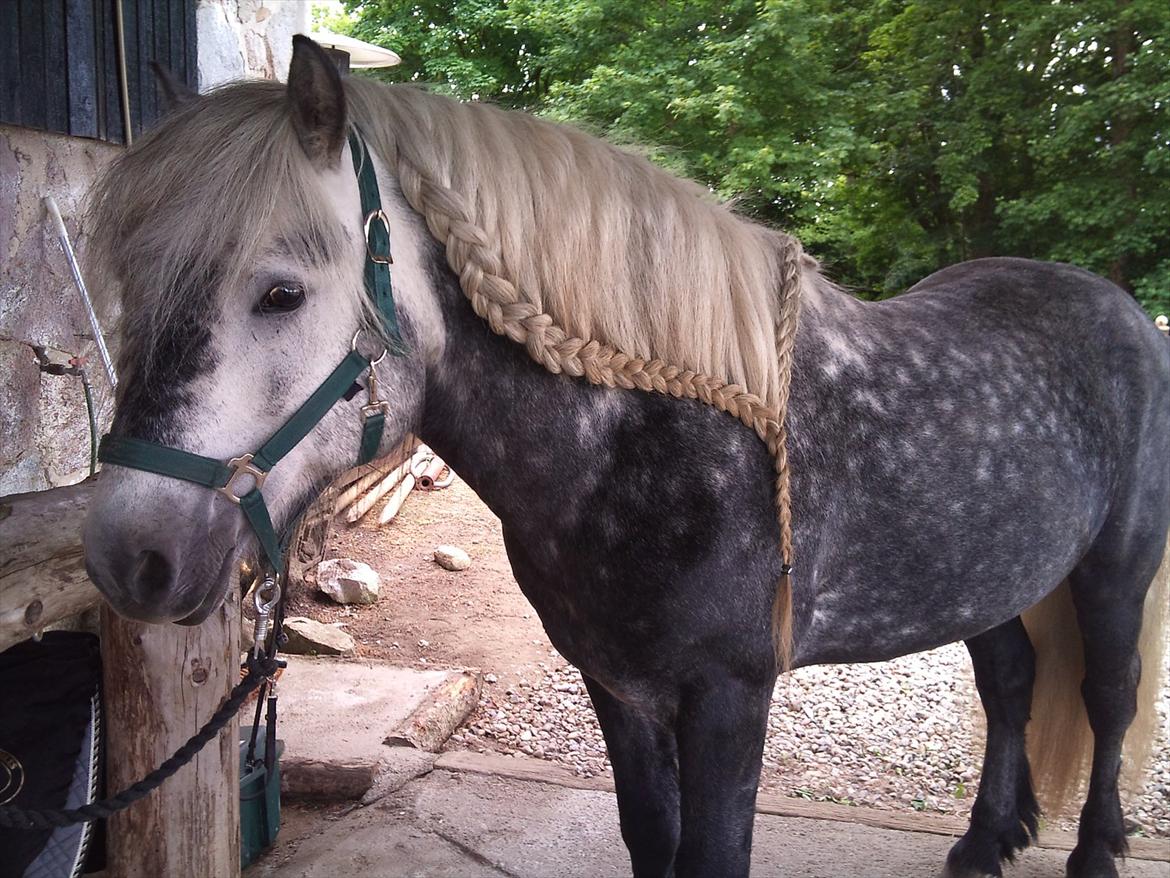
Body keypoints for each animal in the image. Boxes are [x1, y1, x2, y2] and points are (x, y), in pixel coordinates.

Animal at [81, 36, 1169, 878]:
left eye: (281, 294)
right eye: (132, 281)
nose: (131, 553)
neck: (658, 444)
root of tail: (1121, 311)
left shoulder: (730, 695)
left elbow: (713, 853)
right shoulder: (621, 687)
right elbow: (654, 840)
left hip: (1115, 567)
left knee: (1107, 697)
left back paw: (1093, 850)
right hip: (989, 574)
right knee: (1013, 681)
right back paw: (986, 840)